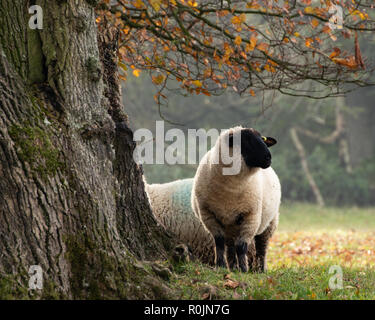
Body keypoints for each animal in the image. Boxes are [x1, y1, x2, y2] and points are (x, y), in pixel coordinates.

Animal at [192, 126, 280, 272]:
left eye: (262, 139)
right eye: (246, 141)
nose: (268, 157)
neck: (231, 190)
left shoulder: (251, 216)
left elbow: (242, 246)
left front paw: (244, 269)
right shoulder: (208, 214)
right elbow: (219, 242)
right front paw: (220, 265)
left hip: (269, 222)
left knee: (261, 247)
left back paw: (261, 269)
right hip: (230, 225)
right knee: (230, 246)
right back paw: (232, 267)